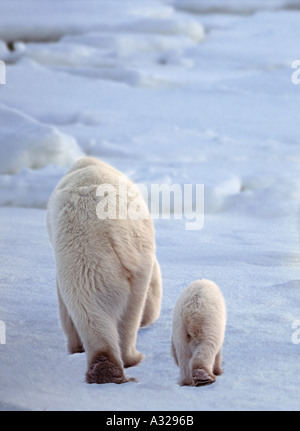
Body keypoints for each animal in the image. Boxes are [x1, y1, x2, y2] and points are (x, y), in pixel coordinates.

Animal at [47, 156, 162, 384]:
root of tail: (114, 230)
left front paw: (75, 348)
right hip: (132, 259)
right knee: (125, 309)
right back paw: (120, 363)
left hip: (86, 255)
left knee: (90, 305)